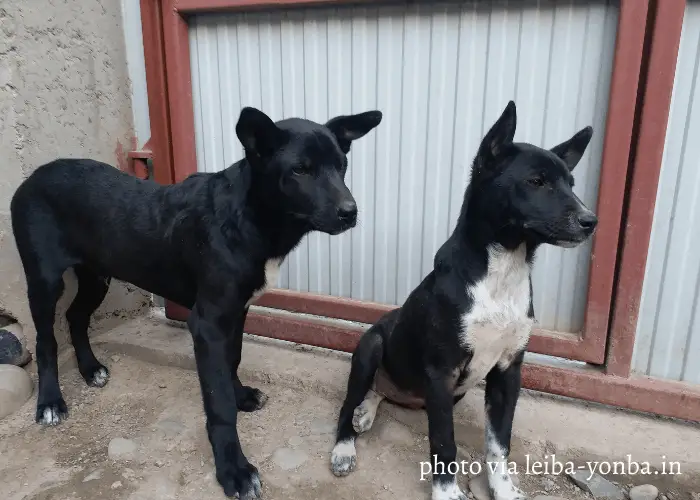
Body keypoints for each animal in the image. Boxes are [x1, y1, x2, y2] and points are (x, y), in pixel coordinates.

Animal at [9, 106, 382, 500]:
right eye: (300, 170)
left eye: (341, 165)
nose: (350, 212)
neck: (248, 217)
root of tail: (32, 177)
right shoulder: (207, 323)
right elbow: (218, 403)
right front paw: (234, 471)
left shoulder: (236, 311)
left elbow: (232, 361)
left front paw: (240, 395)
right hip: (44, 280)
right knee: (45, 340)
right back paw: (50, 402)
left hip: (97, 275)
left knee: (76, 316)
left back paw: (89, 368)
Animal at [330, 98, 600, 500]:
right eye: (536, 182)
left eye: (571, 183)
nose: (590, 221)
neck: (502, 270)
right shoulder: (442, 373)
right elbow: (445, 443)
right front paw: (445, 492)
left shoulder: (507, 371)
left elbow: (499, 444)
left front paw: (504, 490)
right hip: (371, 347)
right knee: (349, 402)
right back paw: (345, 444)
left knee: (381, 390)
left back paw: (370, 407)